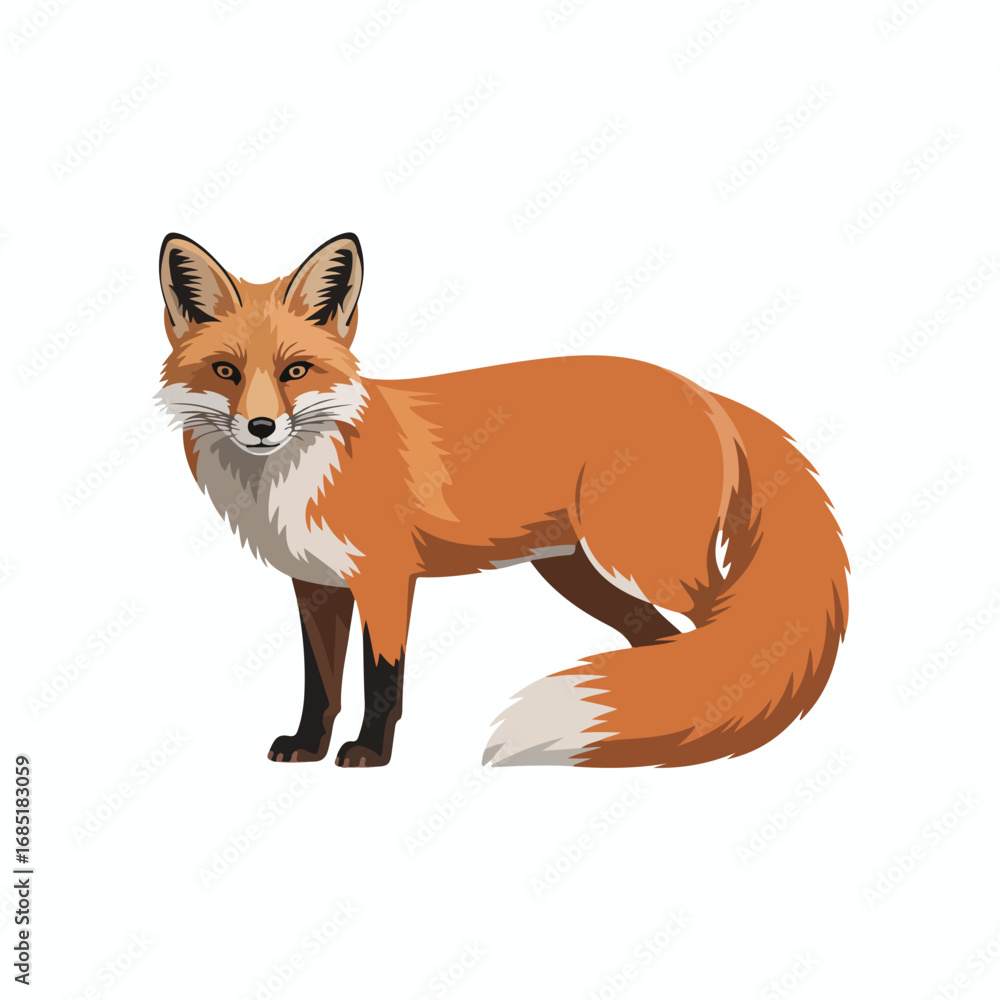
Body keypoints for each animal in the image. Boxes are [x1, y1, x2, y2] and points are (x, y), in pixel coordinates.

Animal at [157, 232, 848, 769]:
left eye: (295, 371)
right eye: (226, 372)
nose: (261, 427)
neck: (301, 472)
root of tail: (706, 392)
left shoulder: (384, 580)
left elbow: (382, 676)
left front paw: (369, 753)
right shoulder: (317, 585)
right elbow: (319, 683)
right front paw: (306, 746)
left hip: (647, 565)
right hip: (582, 574)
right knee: (661, 648)